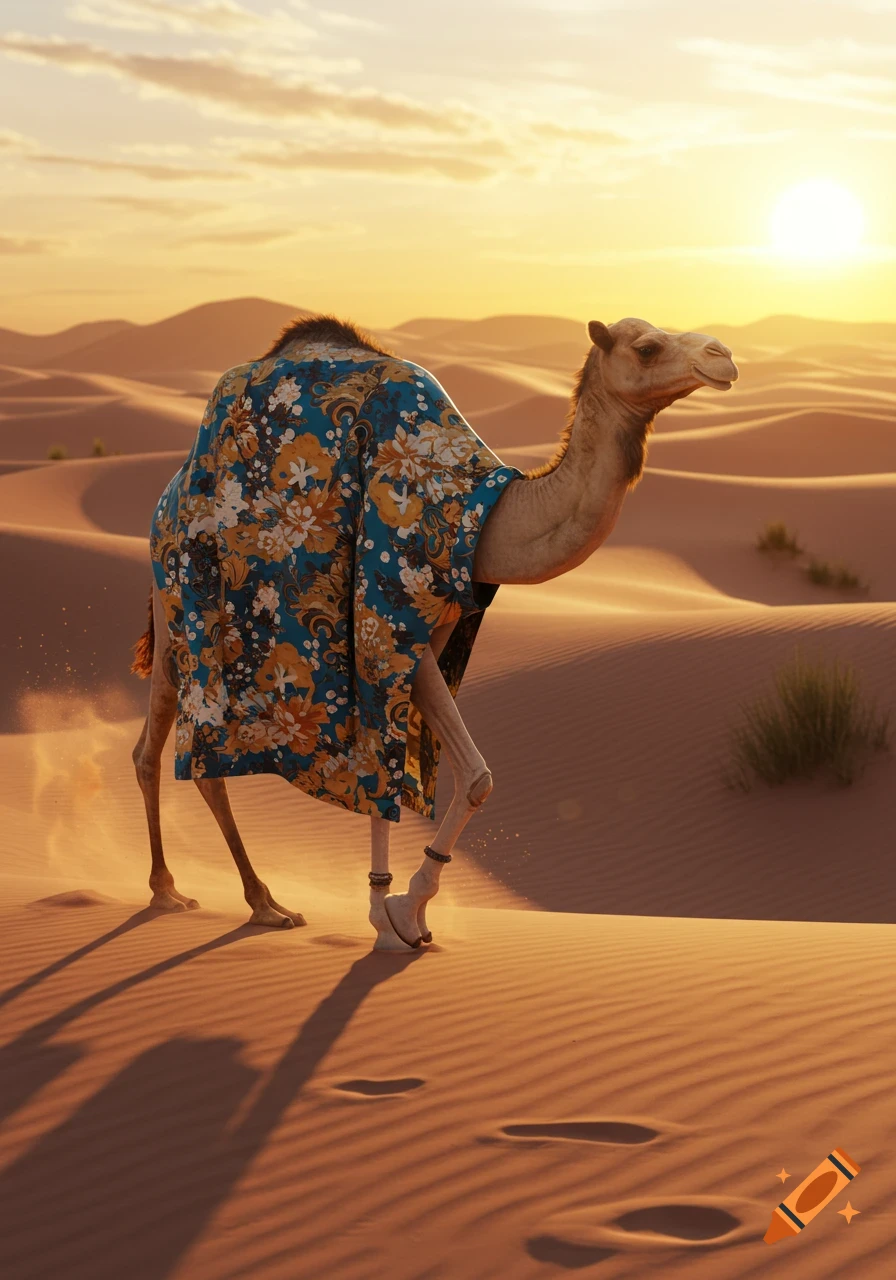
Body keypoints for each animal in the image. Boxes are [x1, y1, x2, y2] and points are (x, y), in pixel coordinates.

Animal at [132, 314, 737, 950]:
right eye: (646, 346)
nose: (723, 357)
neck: (483, 515)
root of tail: (166, 496)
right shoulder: (389, 605)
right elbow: (473, 777)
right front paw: (403, 910)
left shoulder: (437, 628)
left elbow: (386, 766)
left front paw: (387, 912)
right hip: (182, 604)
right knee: (185, 749)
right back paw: (248, 901)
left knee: (155, 750)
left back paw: (190, 891)